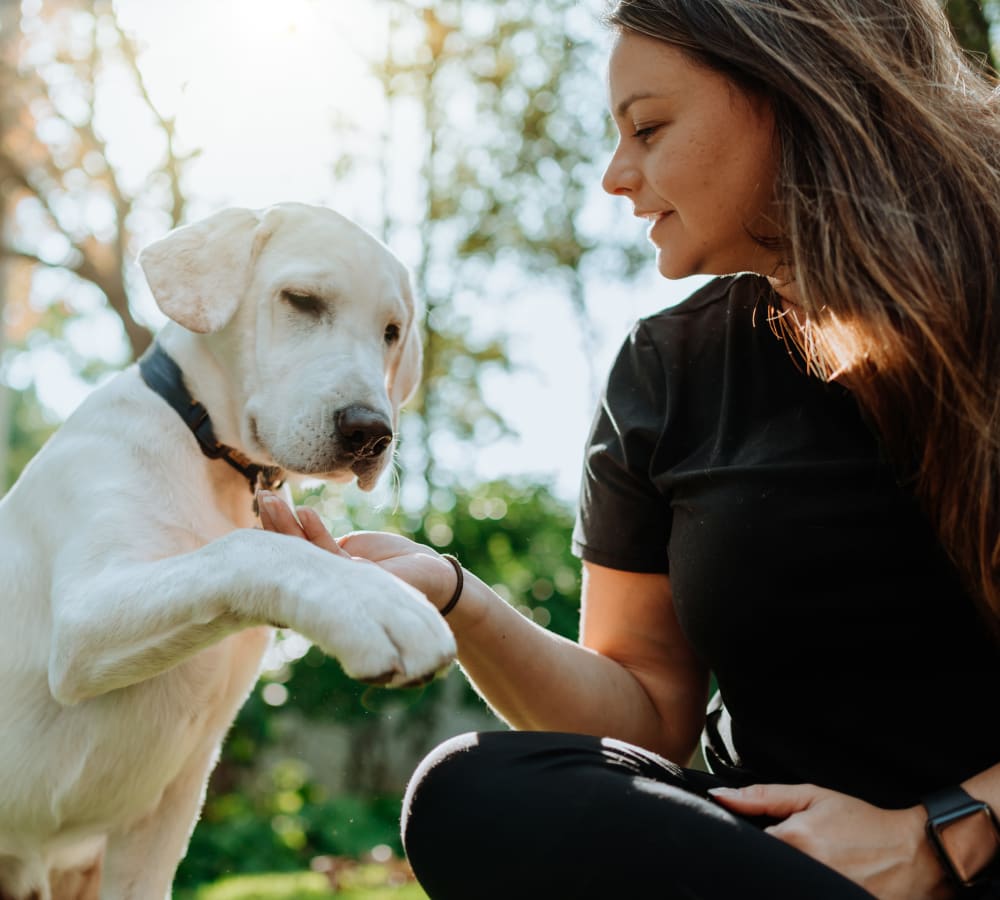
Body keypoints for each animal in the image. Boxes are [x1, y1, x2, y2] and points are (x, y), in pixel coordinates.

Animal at [0, 204, 458, 900]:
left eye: (391, 331)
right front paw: (372, 603)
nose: (371, 434)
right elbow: (248, 548)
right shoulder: (80, 626)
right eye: (302, 300)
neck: (205, 447)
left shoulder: (164, 812)